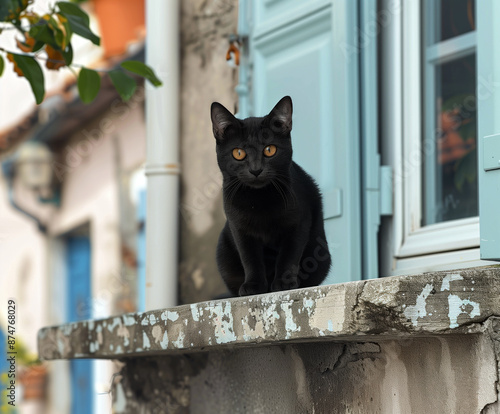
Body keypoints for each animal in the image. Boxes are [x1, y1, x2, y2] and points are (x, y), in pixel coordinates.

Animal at [211, 95, 332, 296]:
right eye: (238, 153)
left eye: (269, 150)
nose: (256, 169)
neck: (259, 200)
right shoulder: (240, 229)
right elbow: (250, 258)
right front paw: (253, 286)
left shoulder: (298, 223)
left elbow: (289, 255)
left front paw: (283, 283)